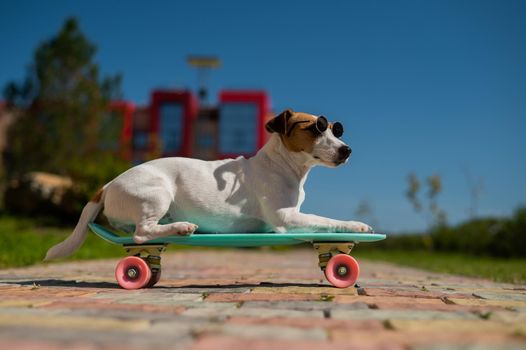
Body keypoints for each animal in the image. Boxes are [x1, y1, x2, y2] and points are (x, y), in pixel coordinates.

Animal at [46, 109, 376, 260]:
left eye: (335, 129)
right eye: (316, 128)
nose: (347, 150)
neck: (282, 164)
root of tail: (108, 183)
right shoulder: (286, 218)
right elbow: (327, 219)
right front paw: (357, 225)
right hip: (158, 192)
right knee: (141, 233)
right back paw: (182, 228)